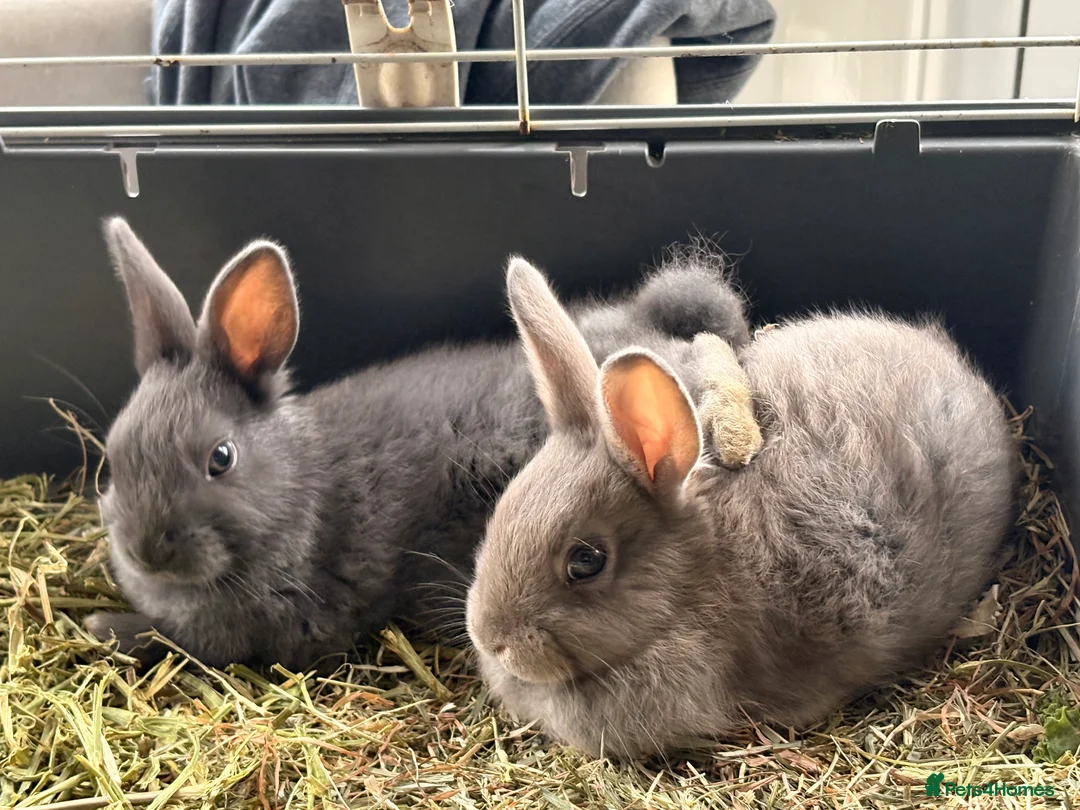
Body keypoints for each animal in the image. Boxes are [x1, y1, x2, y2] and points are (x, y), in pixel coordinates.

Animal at [84, 219, 757, 670]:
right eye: (111, 461)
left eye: (219, 459)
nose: (146, 551)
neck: (300, 494)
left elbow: (171, 640)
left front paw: (101, 624)